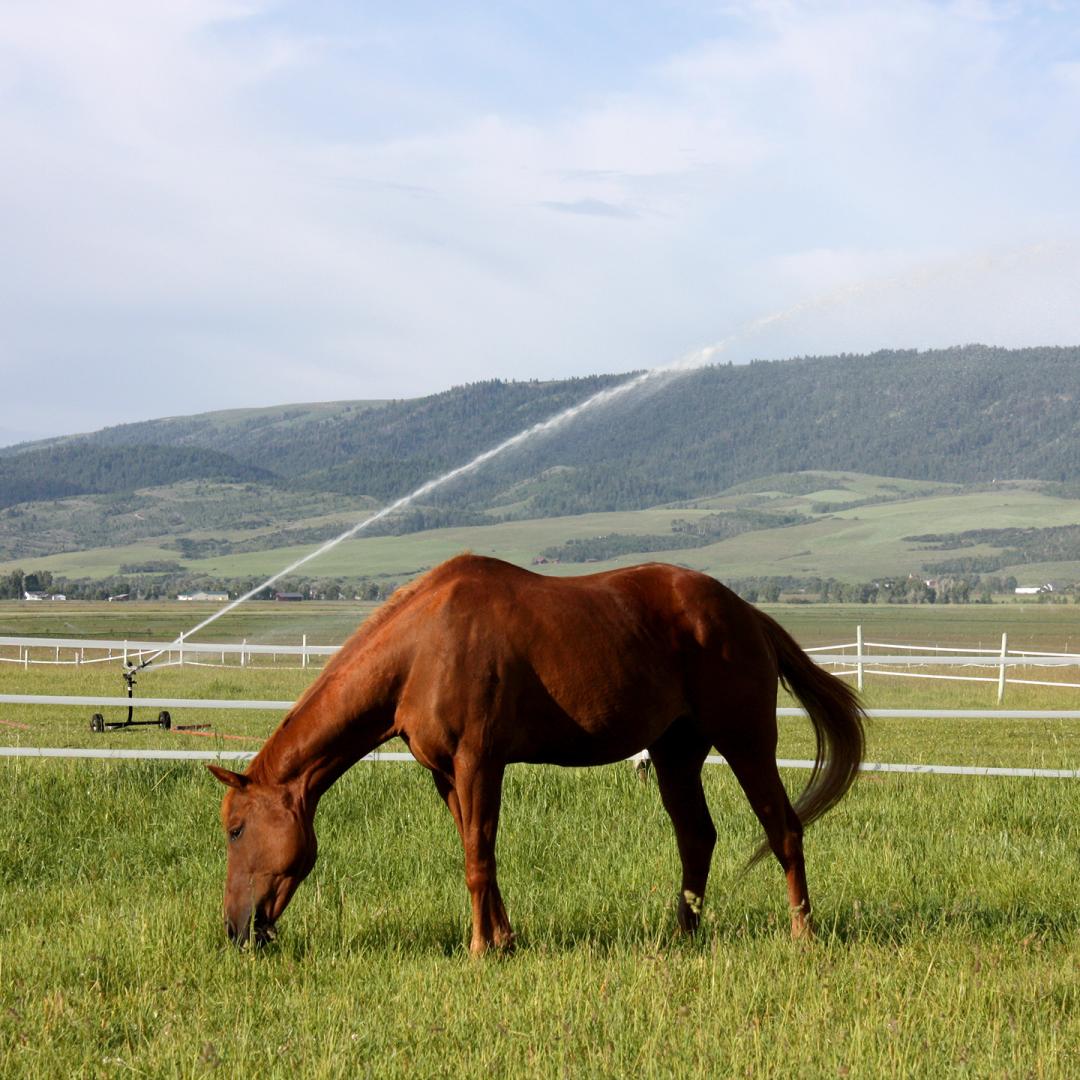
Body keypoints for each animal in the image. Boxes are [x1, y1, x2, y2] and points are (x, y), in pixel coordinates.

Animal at [210, 557, 864, 954]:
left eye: (237, 829)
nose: (237, 930)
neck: (423, 648)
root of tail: (747, 613)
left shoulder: (478, 762)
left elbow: (478, 858)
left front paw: (479, 949)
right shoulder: (447, 775)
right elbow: (480, 855)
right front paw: (503, 941)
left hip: (746, 741)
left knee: (783, 829)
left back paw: (802, 933)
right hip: (676, 752)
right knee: (697, 837)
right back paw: (682, 935)